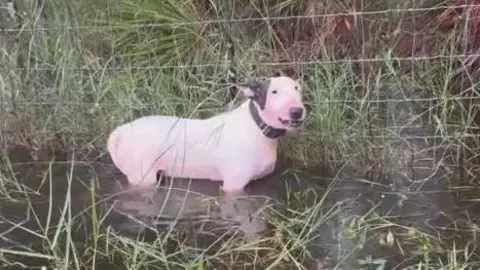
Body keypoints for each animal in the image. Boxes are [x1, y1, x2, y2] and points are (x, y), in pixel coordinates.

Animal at [107, 75, 306, 197]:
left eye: (297, 89)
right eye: (274, 92)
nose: (297, 111)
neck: (257, 127)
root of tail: (120, 131)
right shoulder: (233, 186)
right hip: (142, 177)